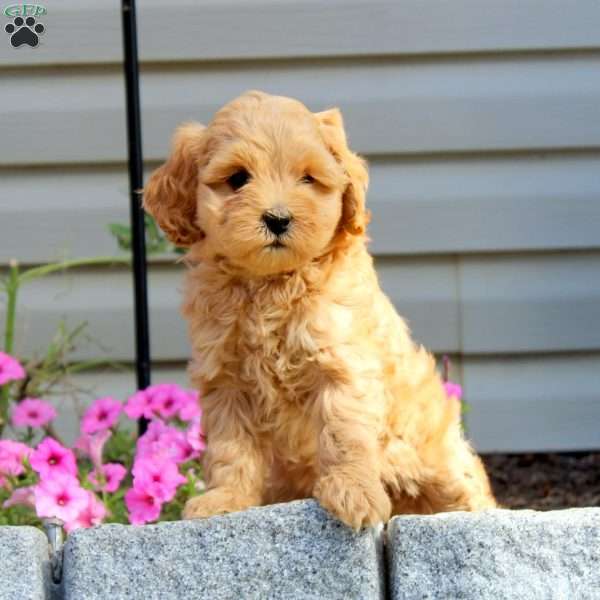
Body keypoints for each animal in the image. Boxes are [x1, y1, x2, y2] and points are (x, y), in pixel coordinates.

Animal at [143, 90, 494, 528]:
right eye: (238, 178)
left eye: (308, 179)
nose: (277, 219)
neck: (271, 284)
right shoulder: (225, 380)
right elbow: (230, 447)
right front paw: (225, 498)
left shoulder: (343, 367)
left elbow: (344, 433)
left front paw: (354, 492)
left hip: (440, 463)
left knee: (467, 490)